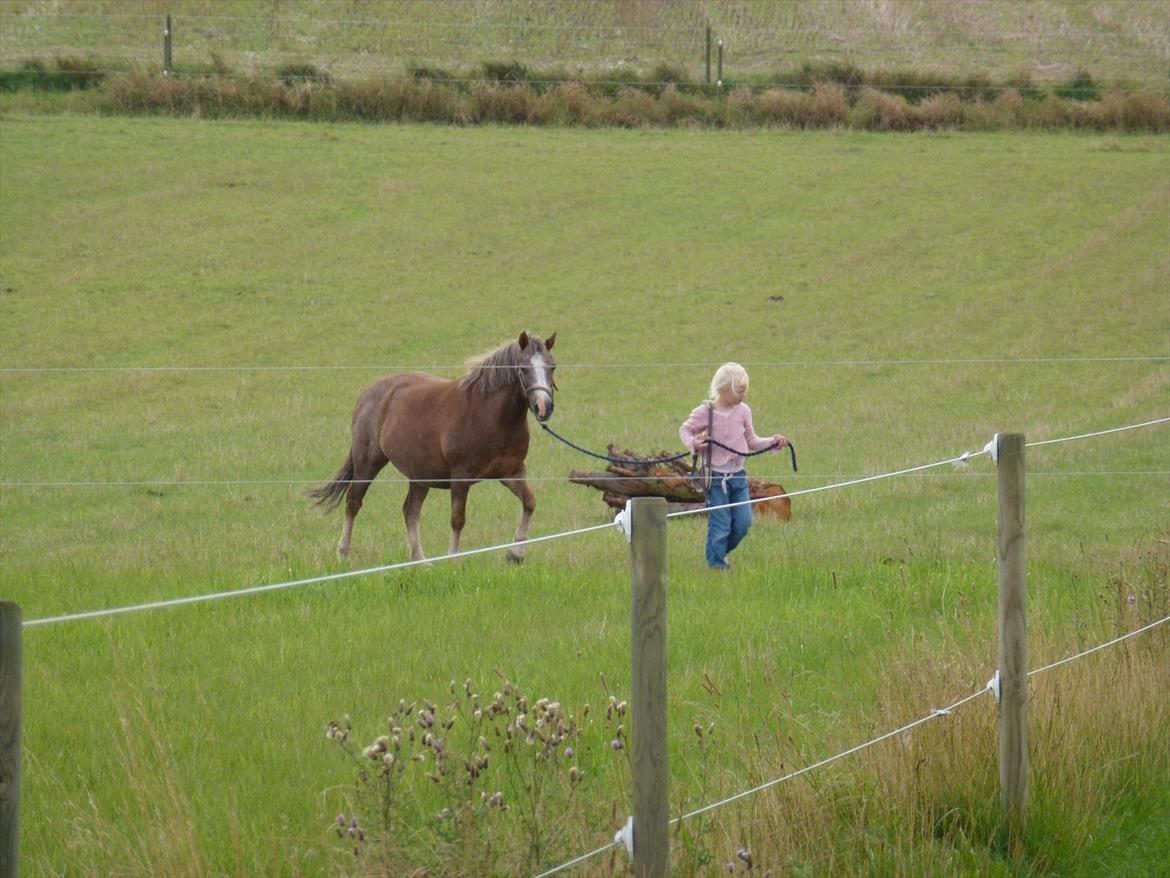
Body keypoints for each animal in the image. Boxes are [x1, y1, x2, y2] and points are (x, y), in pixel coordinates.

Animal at [306, 330, 552, 564]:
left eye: (552, 367)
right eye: (523, 368)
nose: (544, 407)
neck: (490, 415)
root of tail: (369, 392)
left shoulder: (511, 473)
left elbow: (529, 503)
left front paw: (515, 554)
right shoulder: (461, 477)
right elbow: (457, 519)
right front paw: (452, 559)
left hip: (419, 475)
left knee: (410, 511)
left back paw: (420, 561)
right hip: (368, 462)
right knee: (353, 503)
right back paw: (343, 554)